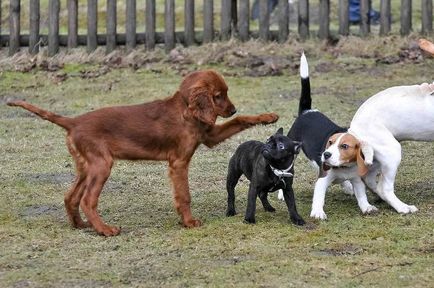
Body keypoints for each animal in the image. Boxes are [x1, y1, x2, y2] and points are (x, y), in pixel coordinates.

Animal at [8, 70, 280, 236]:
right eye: (218, 95)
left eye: (225, 93)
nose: (232, 109)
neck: (184, 109)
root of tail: (73, 122)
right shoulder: (179, 162)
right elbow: (184, 195)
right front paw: (189, 222)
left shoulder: (210, 136)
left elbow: (242, 121)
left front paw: (268, 117)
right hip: (101, 165)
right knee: (86, 199)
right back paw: (104, 229)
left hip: (86, 166)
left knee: (70, 196)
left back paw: (80, 225)